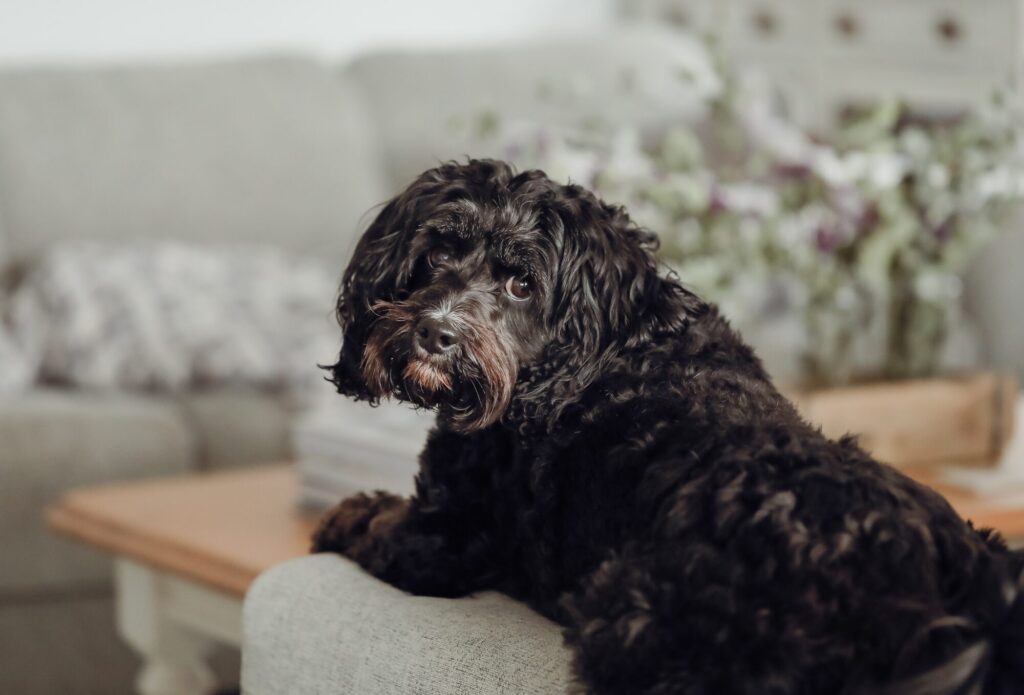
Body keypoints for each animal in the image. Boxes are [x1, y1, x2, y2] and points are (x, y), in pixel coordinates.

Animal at [315, 158, 1024, 695]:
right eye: (438, 253)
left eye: (521, 284)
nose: (435, 333)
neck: (612, 349)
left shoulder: (445, 536)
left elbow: (372, 524)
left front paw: (342, 514)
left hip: (636, 611)